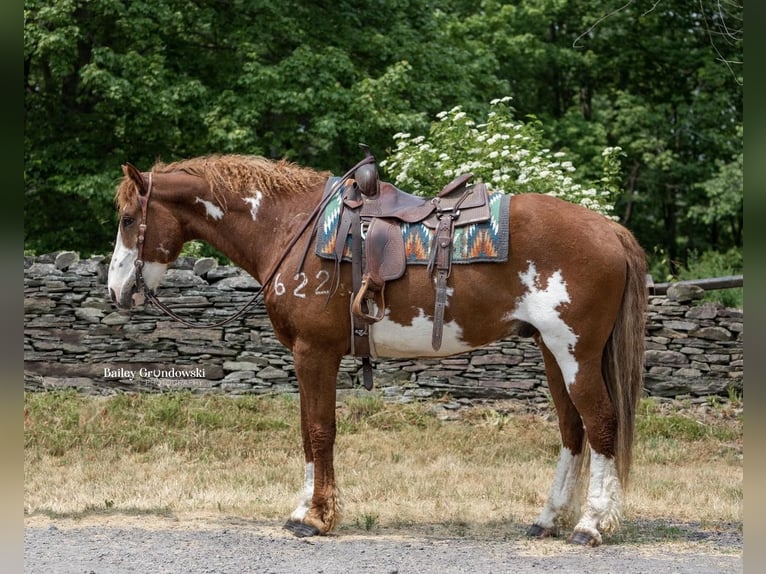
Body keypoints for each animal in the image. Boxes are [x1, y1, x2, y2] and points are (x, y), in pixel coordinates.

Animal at [108, 153, 648, 548]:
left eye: (129, 219)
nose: (116, 290)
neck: (290, 227)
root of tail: (610, 231)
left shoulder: (314, 352)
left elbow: (319, 431)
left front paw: (315, 517)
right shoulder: (308, 356)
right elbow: (308, 433)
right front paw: (307, 509)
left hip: (575, 352)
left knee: (601, 424)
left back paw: (591, 525)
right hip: (554, 352)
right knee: (573, 430)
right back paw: (549, 519)